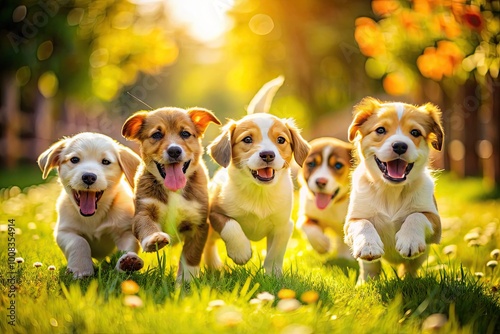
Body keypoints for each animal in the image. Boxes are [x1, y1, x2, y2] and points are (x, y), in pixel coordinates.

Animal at [36, 132, 143, 278]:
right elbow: (79, 242)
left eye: (105, 161)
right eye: (75, 159)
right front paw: (82, 269)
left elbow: (128, 248)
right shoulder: (64, 231)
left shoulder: (125, 231)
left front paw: (127, 263)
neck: (94, 216)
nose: (89, 177)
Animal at [120, 107, 219, 282]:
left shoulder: (199, 223)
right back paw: (128, 262)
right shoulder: (143, 211)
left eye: (185, 133)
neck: (174, 191)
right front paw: (154, 239)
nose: (174, 151)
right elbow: (146, 226)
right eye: (156, 135)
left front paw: (186, 280)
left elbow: (191, 255)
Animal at [202, 77, 310, 276]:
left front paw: (273, 275)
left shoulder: (284, 225)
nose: (267, 154)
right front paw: (241, 251)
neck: (259, 192)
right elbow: (231, 226)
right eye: (247, 139)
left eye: (281, 140)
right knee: (209, 244)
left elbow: (275, 252)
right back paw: (213, 265)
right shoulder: (215, 213)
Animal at [346, 97, 444, 284]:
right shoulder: (352, 221)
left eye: (415, 132)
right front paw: (369, 246)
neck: (390, 190)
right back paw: (364, 283)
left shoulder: (436, 223)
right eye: (380, 130)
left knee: (409, 268)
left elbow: (416, 216)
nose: (399, 146)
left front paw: (410, 240)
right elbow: (363, 223)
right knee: (370, 268)